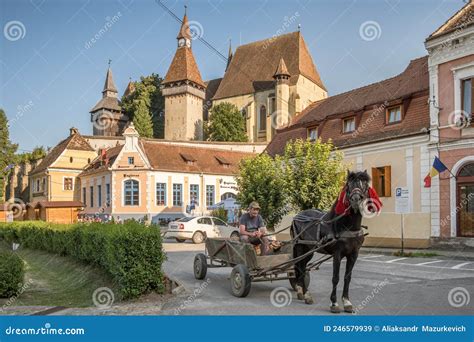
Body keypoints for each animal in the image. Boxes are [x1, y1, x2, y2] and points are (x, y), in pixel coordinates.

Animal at [290, 170, 376, 312]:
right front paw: (334, 303)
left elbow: (347, 277)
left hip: (309, 250)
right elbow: (336, 278)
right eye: (348, 185)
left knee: (302, 266)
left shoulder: (354, 254)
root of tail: (298, 216)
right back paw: (306, 294)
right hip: (300, 247)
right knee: (300, 267)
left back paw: (301, 292)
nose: (355, 200)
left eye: (364, 185)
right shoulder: (337, 254)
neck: (343, 225)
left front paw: (346, 302)